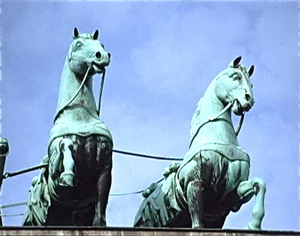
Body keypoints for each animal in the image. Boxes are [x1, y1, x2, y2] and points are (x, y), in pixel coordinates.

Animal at [22, 28, 113, 227]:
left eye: (101, 44)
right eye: (78, 45)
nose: (102, 55)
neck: (80, 118)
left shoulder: (105, 166)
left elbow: (101, 205)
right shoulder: (55, 167)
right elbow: (66, 147)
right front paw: (68, 176)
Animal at [135, 56, 266, 230]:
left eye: (251, 85)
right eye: (235, 76)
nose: (249, 100)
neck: (216, 136)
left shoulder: (232, 192)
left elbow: (260, 184)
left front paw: (254, 225)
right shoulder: (195, 183)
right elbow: (197, 222)